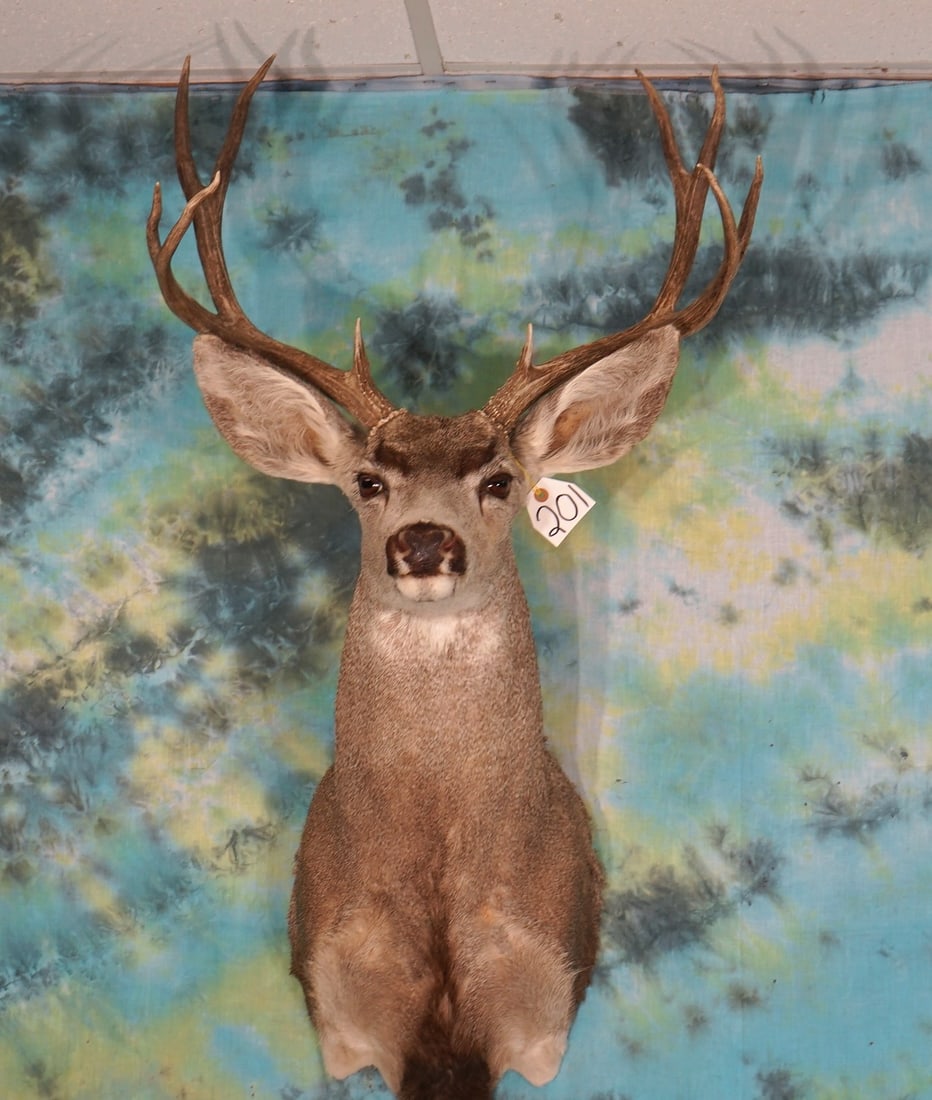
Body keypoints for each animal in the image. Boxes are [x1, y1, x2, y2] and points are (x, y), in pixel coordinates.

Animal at [147, 56, 761, 1100]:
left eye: (500, 479)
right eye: (368, 481)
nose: (425, 542)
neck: (438, 867)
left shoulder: (543, 1000)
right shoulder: (339, 1002)